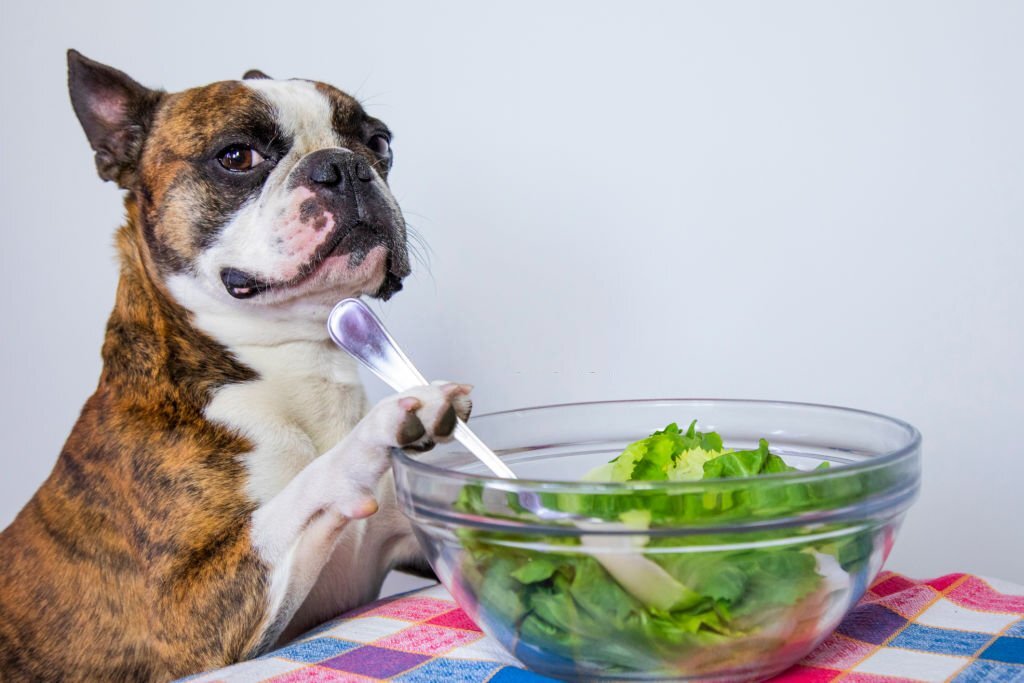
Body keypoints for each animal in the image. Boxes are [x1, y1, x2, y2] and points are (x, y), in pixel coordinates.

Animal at [0, 50, 471, 679]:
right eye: (237, 156)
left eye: (379, 142)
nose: (344, 167)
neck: (293, 357)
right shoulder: (185, 617)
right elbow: (304, 489)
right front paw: (386, 425)